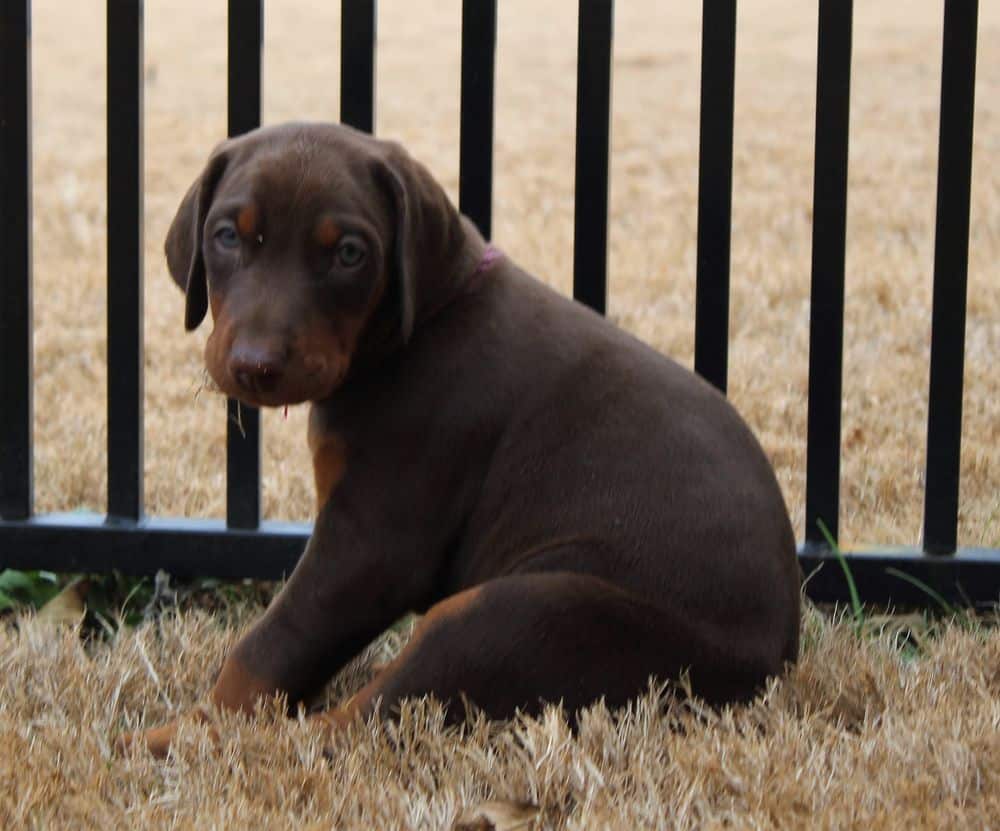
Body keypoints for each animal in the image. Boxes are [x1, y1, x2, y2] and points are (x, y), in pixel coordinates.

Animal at [127, 120, 796, 756]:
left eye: (349, 254)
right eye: (228, 236)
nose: (255, 366)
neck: (419, 325)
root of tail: (770, 665)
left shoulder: (371, 546)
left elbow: (270, 643)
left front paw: (203, 722)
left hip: (523, 614)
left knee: (368, 719)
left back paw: (191, 742)